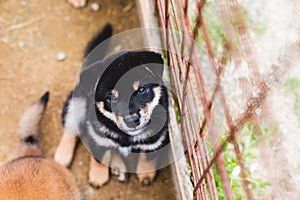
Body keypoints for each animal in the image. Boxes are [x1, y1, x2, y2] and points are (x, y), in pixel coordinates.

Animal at [54, 24, 170, 188]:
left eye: (141, 90)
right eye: (111, 98)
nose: (132, 120)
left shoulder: (155, 139)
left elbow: (148, 158)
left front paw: (145, 174)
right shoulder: (97, 136)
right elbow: (99, 158)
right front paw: (98, 176)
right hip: (75, 104)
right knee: (70, 130)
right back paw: (62, 156)